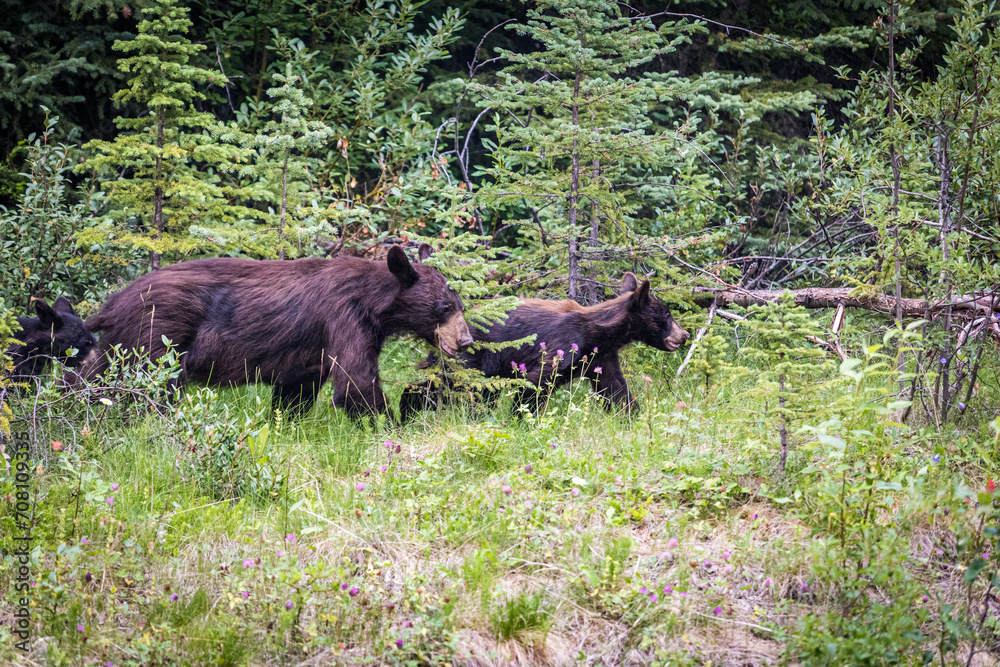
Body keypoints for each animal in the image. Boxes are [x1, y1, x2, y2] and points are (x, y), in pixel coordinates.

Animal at [86, 245, 472, 420]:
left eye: (460, 305)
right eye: (444, 308)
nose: (466, 340)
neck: (373, 301)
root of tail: (111, 304)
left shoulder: (309, 352)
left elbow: (297, 388)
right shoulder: (344, 318)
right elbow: (355, 382)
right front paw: (396, 424)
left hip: (119, 344)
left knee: (93, 374)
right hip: (155, 336)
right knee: (152, 386)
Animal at [398, 272, 688, 420]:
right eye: (667, 315)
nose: (684, 335)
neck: (599, 332)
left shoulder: (601, 357)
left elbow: (615, 387)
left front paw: (631, 416)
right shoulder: (564, 345)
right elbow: (537, 382)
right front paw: (522, 419)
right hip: (469, 358)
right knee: (443, 383)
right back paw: (407, 410)